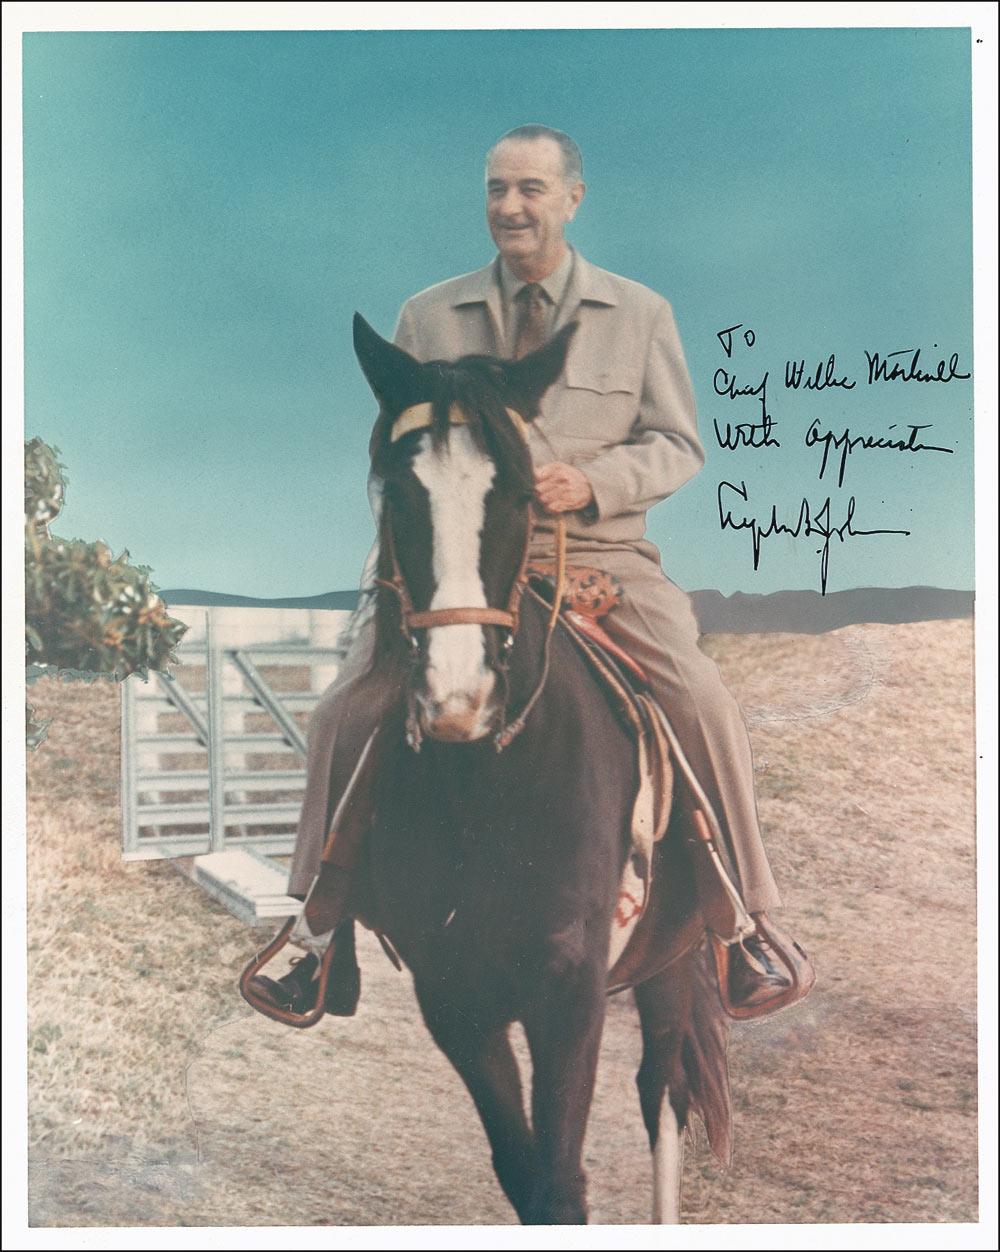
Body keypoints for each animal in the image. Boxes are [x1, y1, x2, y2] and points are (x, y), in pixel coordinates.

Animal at [338, 313, 732, 1224]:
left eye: (520, 497)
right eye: (398, 497)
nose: (459, 697)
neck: (486, 790)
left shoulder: (568, 994)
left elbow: (561, 1179)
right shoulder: (452, 997)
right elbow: (526, 1176)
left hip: (669, 961)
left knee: (663, 1090)